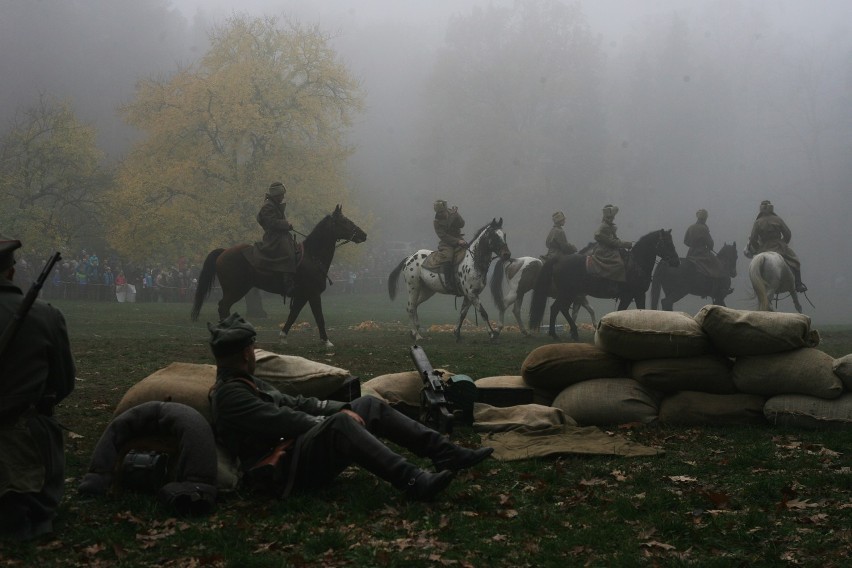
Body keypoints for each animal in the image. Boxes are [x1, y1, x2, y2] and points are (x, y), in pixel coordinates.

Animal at [190, 204, 366, 346]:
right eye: (345, 221)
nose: (363, 235)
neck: (312, 256)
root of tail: (224, 252)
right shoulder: (314, 294)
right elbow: (319, 317)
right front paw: (326, 341)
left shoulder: (302, 296)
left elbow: (293, 315)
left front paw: (283, 337)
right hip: (236, 289)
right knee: (223, 306)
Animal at [524, 227, 680, 342]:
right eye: (667, 243)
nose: (676, 261)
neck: (636, 264)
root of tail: (559, 260)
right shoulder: (630, 295)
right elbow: (625, 311)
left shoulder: (637, 295)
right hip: (568, 293)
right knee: (557, 308)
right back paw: (559, 334)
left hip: (570, 294)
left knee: (559, 308)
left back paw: (565, 333)